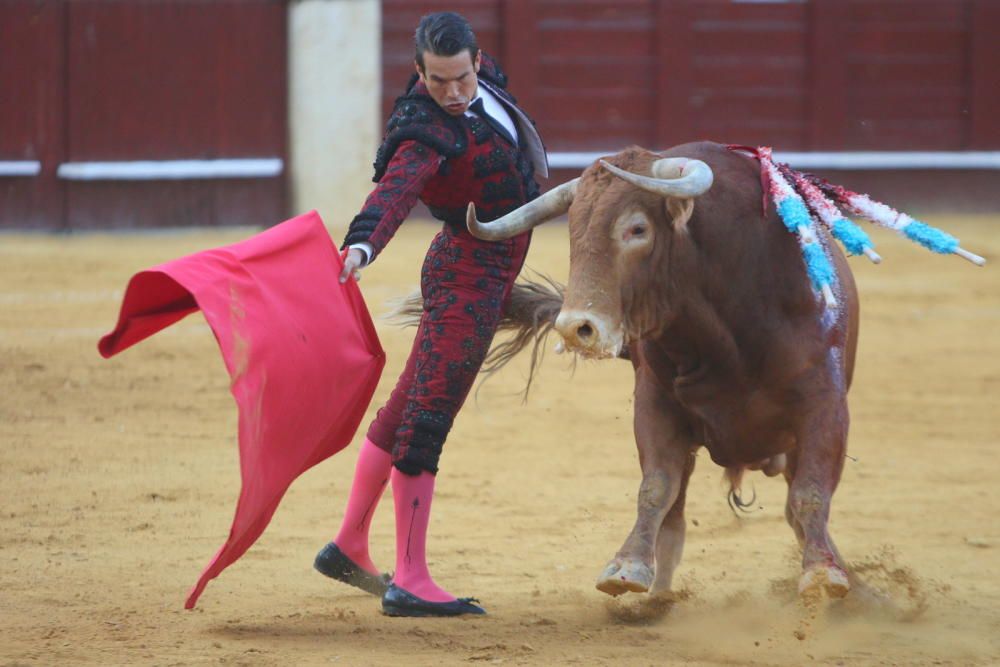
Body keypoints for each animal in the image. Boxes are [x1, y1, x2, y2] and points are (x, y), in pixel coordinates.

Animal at [466, 141, 860, 600]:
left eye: (637, 229)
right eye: (573, 228)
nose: (576, 328)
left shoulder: (824, 405)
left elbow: (810, 493)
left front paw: (823, 572)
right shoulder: (656, 401)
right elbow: (656, 487)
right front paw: (627, 567)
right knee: (675, 512)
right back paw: (658, 598)